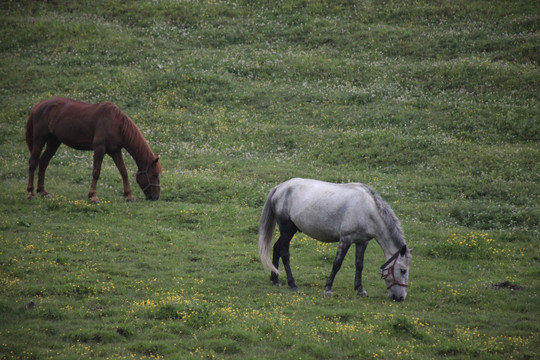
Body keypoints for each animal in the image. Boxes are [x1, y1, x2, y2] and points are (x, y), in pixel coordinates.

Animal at [25, 97, 160, 202]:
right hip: (40, 139)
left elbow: (123, 172)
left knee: (43, 162)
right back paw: (30, 193)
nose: (156, 197)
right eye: (154, 175)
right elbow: (96, 172)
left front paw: (129, 195)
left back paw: (43, 192)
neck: (115, 124)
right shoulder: (99, 149)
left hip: (54, 141)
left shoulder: (115, 151)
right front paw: (93, 196)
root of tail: (38, 106)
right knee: (33, 163)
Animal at [260, 178, 412, 300]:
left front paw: (360, 289)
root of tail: (279, 187)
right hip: (287, 230)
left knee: (276, 247)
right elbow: (337, 264)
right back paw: (292, 284)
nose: (400, 297)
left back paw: (275, 279)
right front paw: (328, 288)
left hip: (288, 232)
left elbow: (359, 265)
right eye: (403, 270)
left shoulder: (362, 242)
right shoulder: (345, 240)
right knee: (284, 252)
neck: (367, 210)